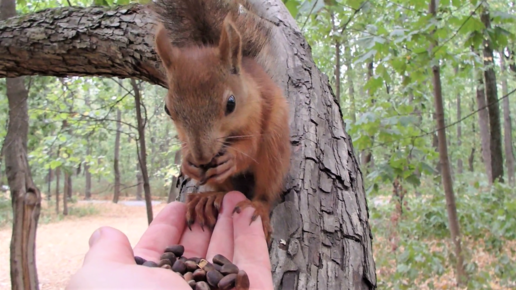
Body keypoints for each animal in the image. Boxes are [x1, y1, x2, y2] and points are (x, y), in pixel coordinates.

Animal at [152, 0, 290, 242]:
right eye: (167, 109)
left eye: (231, 103)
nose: (202, 157)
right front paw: (187, 162)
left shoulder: (256, 112)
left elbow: (250, 146)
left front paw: (231, 159)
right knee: (227, 190)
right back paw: (209, 198)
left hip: (275, 149)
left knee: (266, 188)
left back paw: (258, 207)